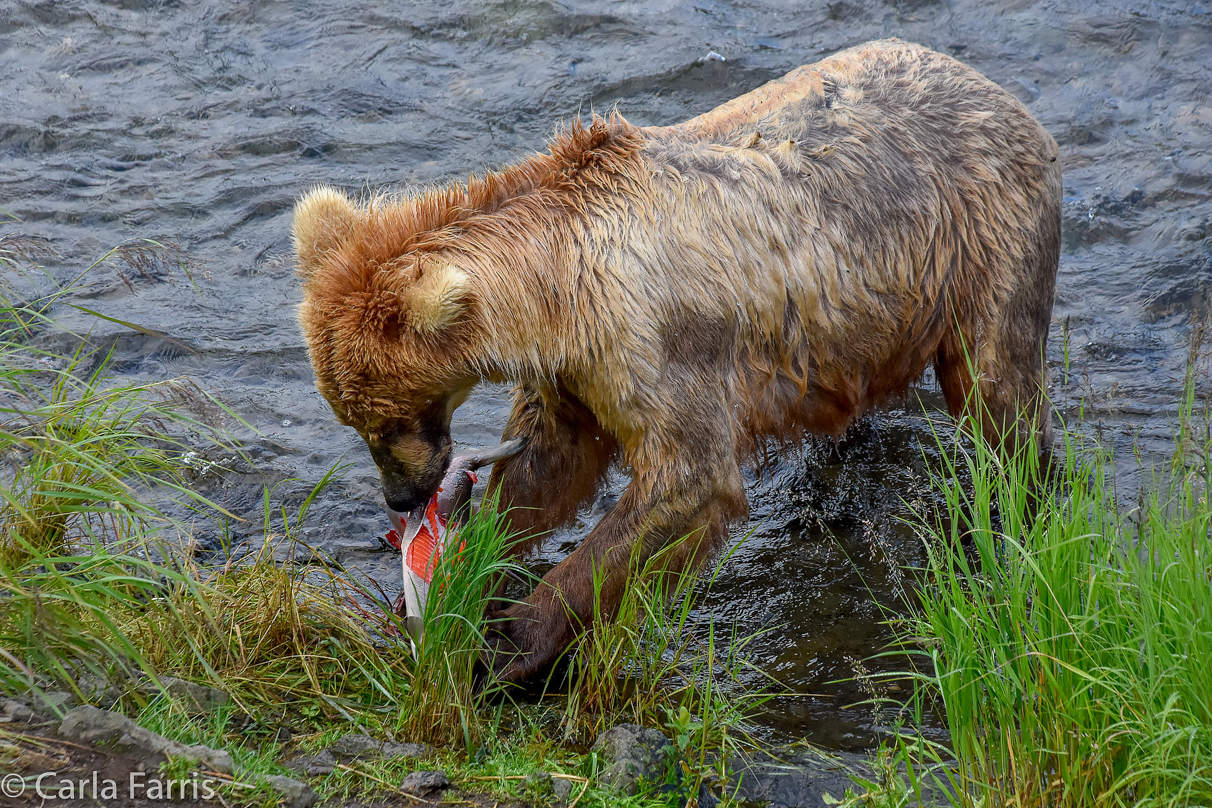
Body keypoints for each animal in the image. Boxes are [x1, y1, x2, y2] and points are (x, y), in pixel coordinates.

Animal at [293, 37, 1061, 683]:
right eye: (352, 419)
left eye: (389, 417)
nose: (402, 495)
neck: (556, 293)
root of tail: (1001, 92)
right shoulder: (574, 374)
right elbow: (547, 464)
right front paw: (464, 573)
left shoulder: (653, 343)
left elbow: (685, 481)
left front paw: (509, 640)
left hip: (983, 242)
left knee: (1000, 394)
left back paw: (1019, 509)